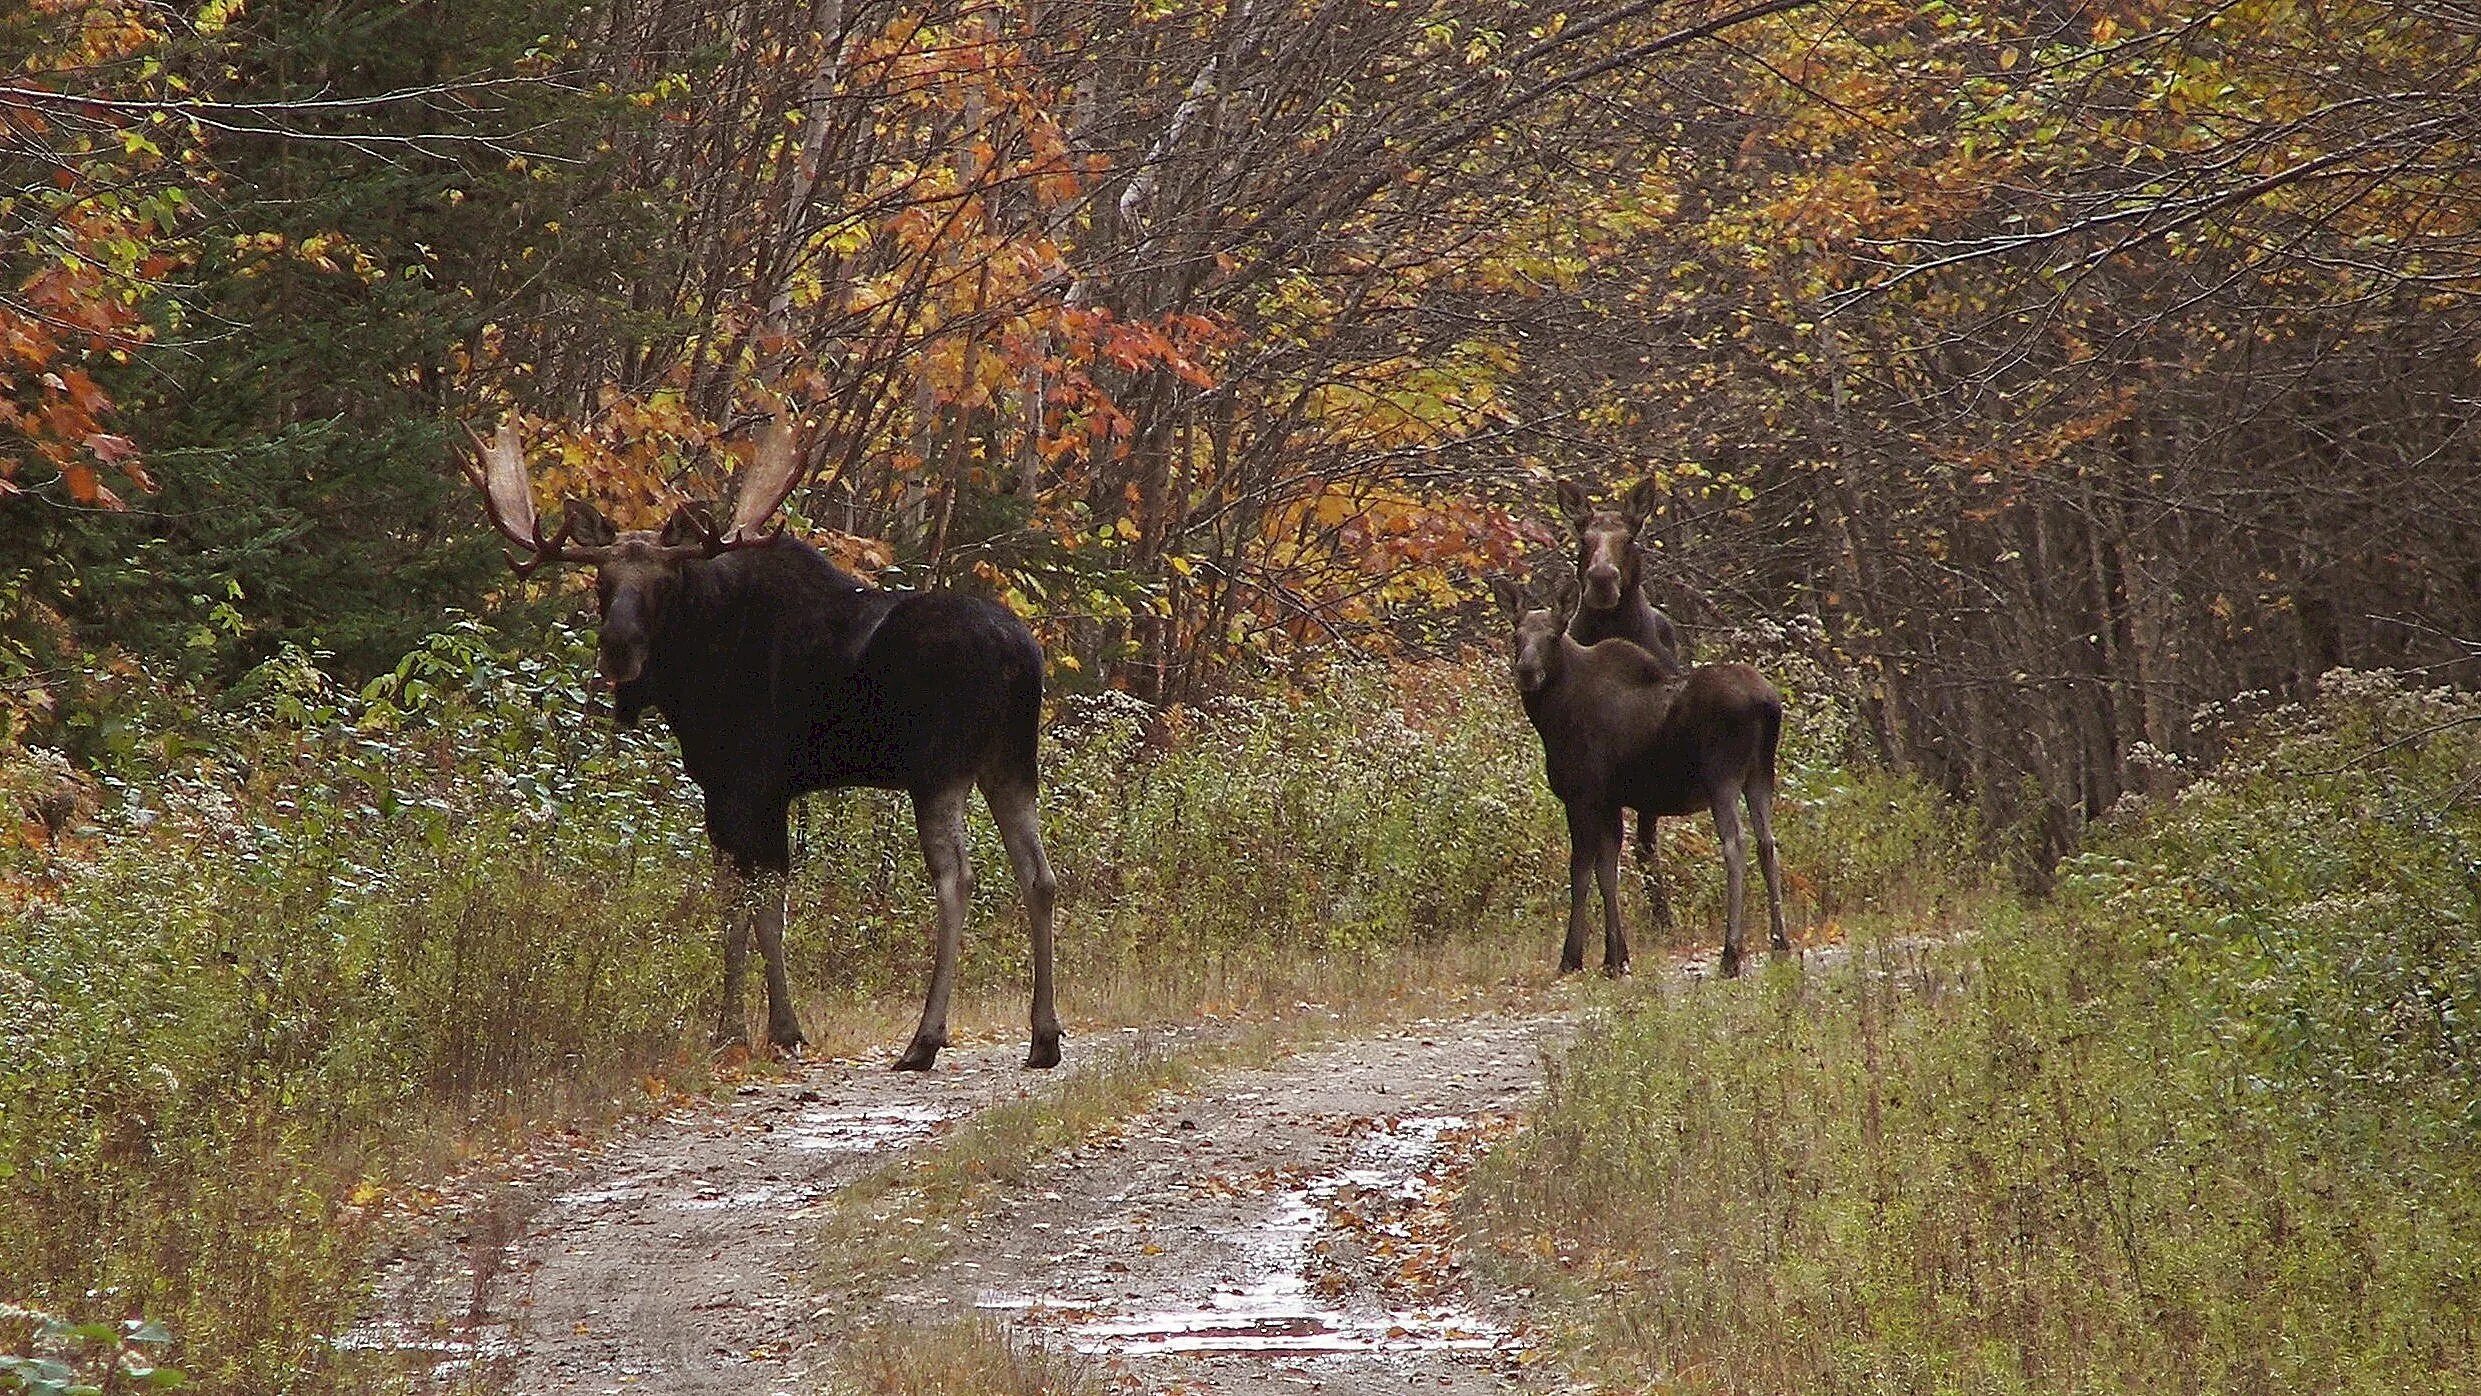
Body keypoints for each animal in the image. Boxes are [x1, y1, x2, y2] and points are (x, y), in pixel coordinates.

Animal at [466, 414, 1056, 1071]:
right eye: (603, 580)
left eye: (663, 583)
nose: (617, 647)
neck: (692, 677)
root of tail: (1021, 657)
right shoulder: (743, 793)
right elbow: (744, 901)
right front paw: (746, 1027)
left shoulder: (746, 783)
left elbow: (755, 904)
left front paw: (767, 1029)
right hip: (1009, 762)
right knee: (1040, 875)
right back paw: (1044, 1037)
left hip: (939, 768)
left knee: (958, 880)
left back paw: (924, 1039)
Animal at [1488, 572, 1786, 976]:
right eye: (1516, 635)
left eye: (1552, 635)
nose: (1526, 671)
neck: (1552, 720)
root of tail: (1768, 703)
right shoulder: (1610, 800)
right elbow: (1607, 870)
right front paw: (1616, 957)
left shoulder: (1582, 795)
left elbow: (1581, 872)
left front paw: (1572, 958)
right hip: (1760, 773)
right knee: (1767, 842)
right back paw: (1780, 943)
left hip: (1721, 776)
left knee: (1735, 843)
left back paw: (1731, 954)